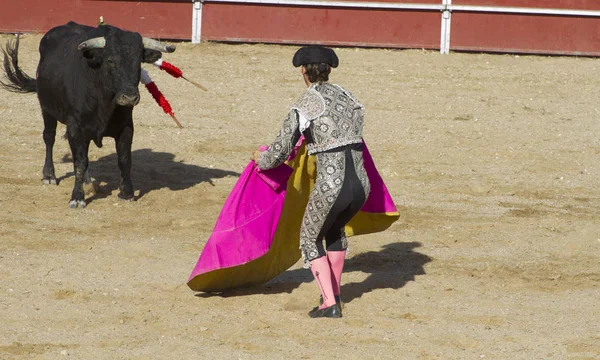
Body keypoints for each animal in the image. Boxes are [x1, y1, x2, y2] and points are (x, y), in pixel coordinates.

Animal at [1, 21, 176, 208]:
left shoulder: (126, 127)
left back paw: (86, 180)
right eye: (110, 61)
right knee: (49, 137)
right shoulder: (74, 127)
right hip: (46, 109)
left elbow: (124, 160)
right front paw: (77, 198)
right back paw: (49, 176)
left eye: (138, 63)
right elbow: (79, 162)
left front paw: (127, 193)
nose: (129, 97)